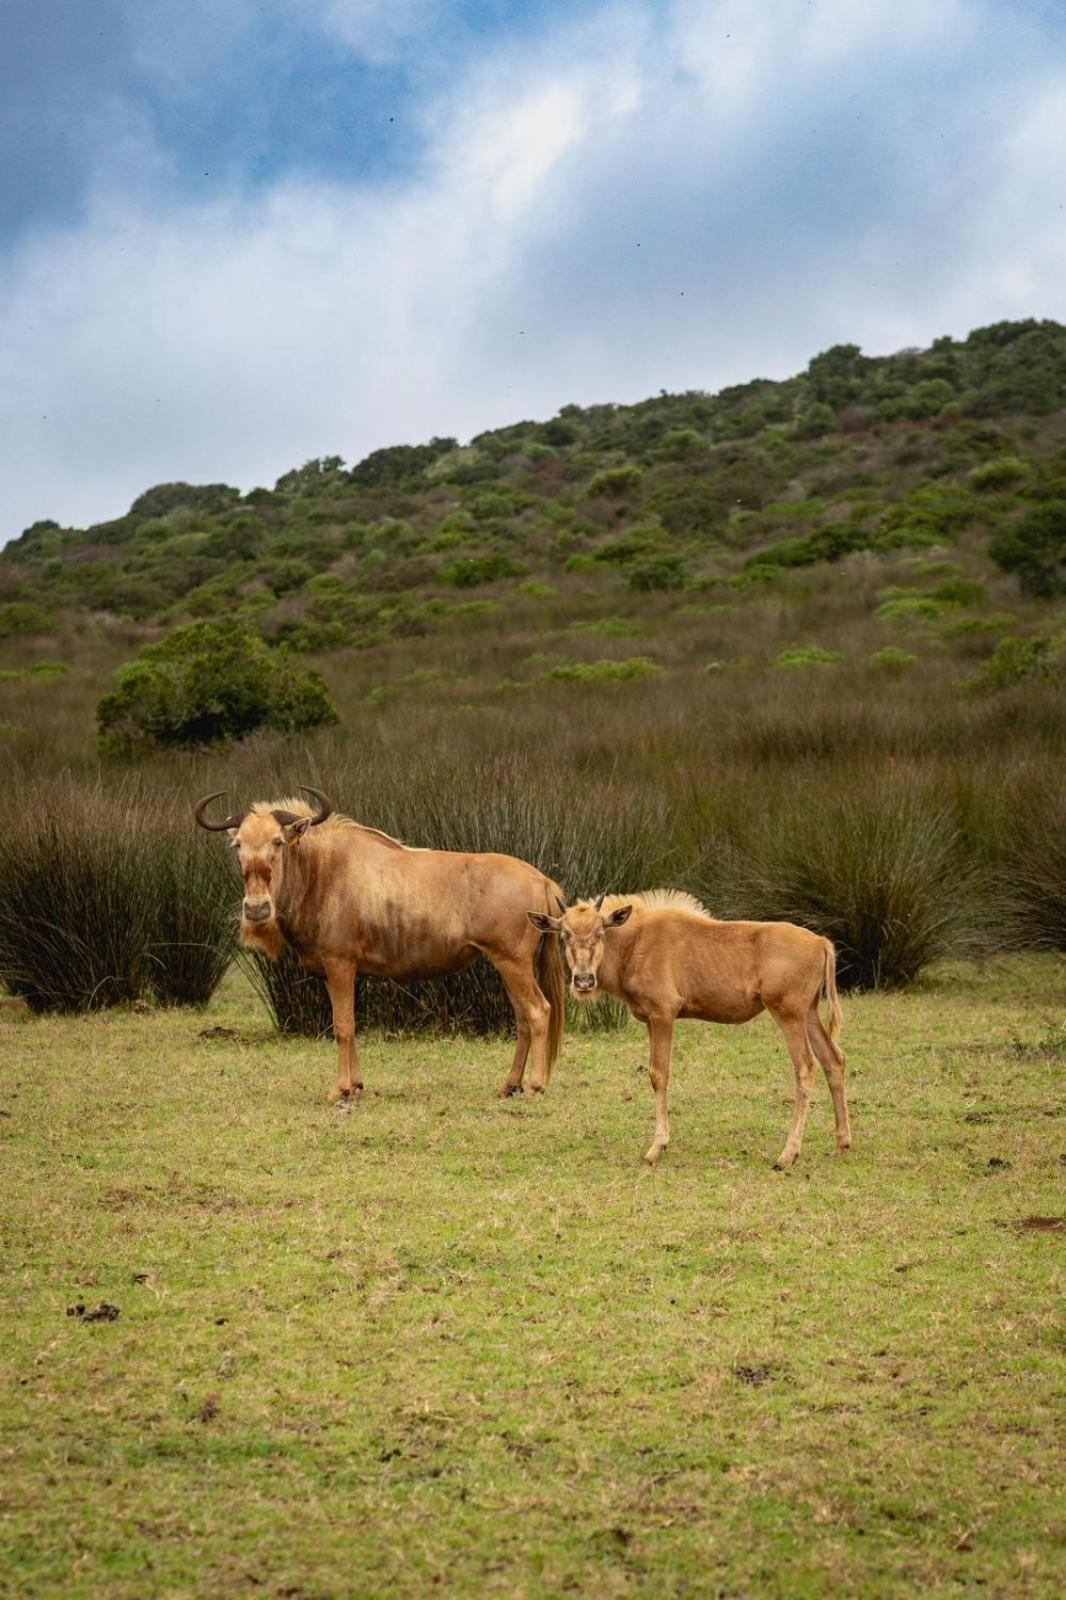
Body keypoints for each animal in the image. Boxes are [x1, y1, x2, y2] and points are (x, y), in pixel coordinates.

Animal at [528, 896, 851, 1171]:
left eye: (600, 932)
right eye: (564, 934)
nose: (583, 981)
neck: (633, 944)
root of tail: (821, 942)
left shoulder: (663, 1014)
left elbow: (659, 1074)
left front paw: (656, 1148)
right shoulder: (651, 1019)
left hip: (789, 1013)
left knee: (806, 1067)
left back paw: (787, 1154)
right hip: (809, 1012)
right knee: (833, 1060)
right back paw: (841, 1144)